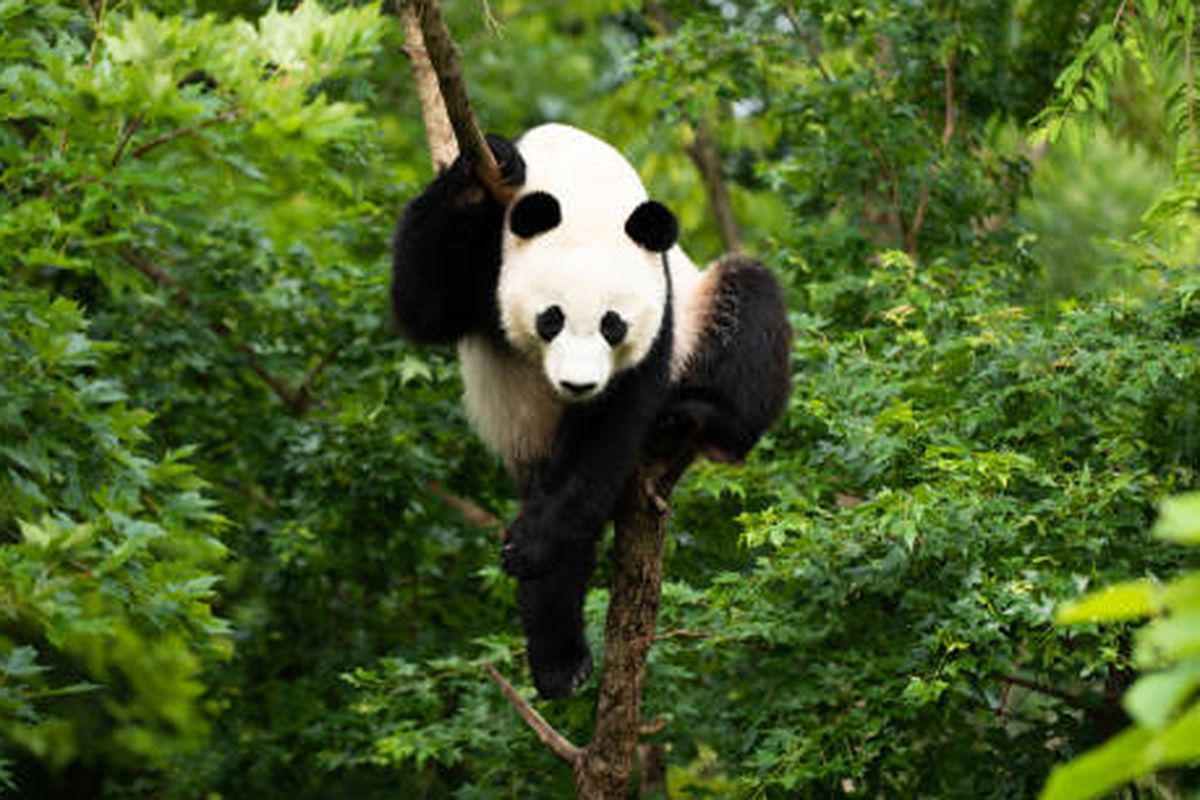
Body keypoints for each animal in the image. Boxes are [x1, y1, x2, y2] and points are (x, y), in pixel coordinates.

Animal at [392, 123, 791, 699]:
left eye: (612, 325)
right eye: (551, 319)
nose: (577, 385)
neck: (584, 192)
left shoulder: (662, 303)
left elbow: (611, 425)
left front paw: (530, 545)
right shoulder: (492, 253)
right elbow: (421, 303)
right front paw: (488, 162)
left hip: (703, 314)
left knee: (751, 297)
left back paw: (701, 420)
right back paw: (561, 662)